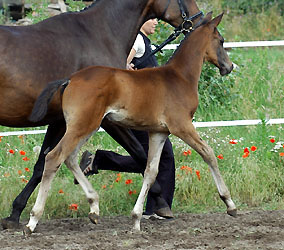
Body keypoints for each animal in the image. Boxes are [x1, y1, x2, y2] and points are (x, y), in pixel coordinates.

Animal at [26, 12, 236, 233]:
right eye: (221, 41)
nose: (229, 67)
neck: (179, 77)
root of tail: (70, 79)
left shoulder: (159, 132)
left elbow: (151, 171)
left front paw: (136, 219)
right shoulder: (182, 126)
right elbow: (209, 153)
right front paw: (229, 204)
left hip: (86, 126)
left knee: (70, 158)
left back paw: (94, 207)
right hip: (83, 126)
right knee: (54, 157)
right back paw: (33, 220)